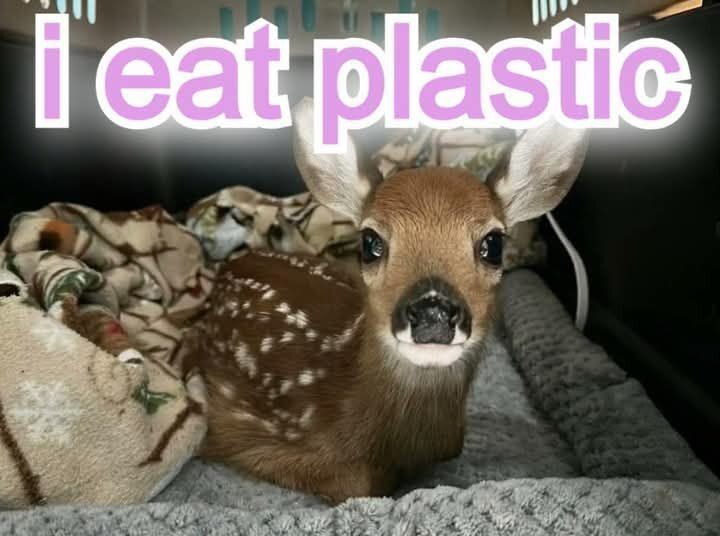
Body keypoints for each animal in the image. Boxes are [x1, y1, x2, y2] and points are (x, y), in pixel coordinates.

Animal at [185, 98, 589, 503]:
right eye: (370, 242)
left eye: (493, 244)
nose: (432, 312)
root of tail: (234, 262)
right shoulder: (251, 439)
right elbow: (358, 484)